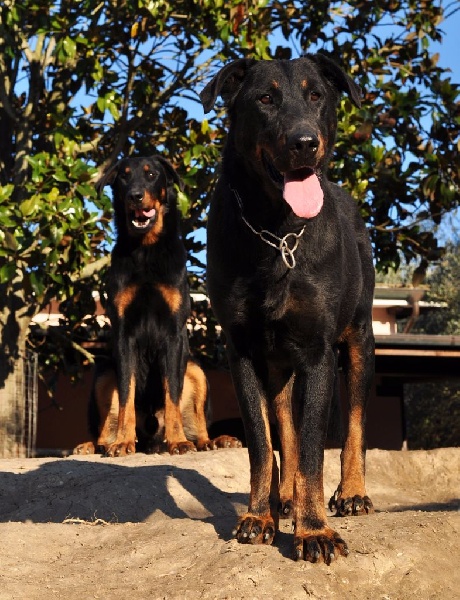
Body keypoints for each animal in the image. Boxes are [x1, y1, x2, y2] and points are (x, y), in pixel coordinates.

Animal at [74, 156, 240, 456]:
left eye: (151, 175)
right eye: (124, 177)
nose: (135, 196)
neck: (146, 249)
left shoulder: (173, 334)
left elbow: (172, 393)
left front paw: (178, 441)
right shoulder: (123, 333)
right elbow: (126, 396)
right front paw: (123, 442)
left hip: (195, 369)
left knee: (198, 426)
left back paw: (214, 441)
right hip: (104, 372)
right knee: (104, 431)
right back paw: (96, 445)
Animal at [200, 54, 375, 563]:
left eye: (316, 94)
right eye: (265, 98)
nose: (304, 142)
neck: (276, 231)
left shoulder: (318, 352)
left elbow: (317, 444)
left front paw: (314, 530)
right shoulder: (241, 351)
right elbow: (264, 442)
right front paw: (259, 516)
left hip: (359, 339)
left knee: (354, 423)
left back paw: (351, 493)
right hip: (277, 364)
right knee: (285, 429)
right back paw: (286, 499)